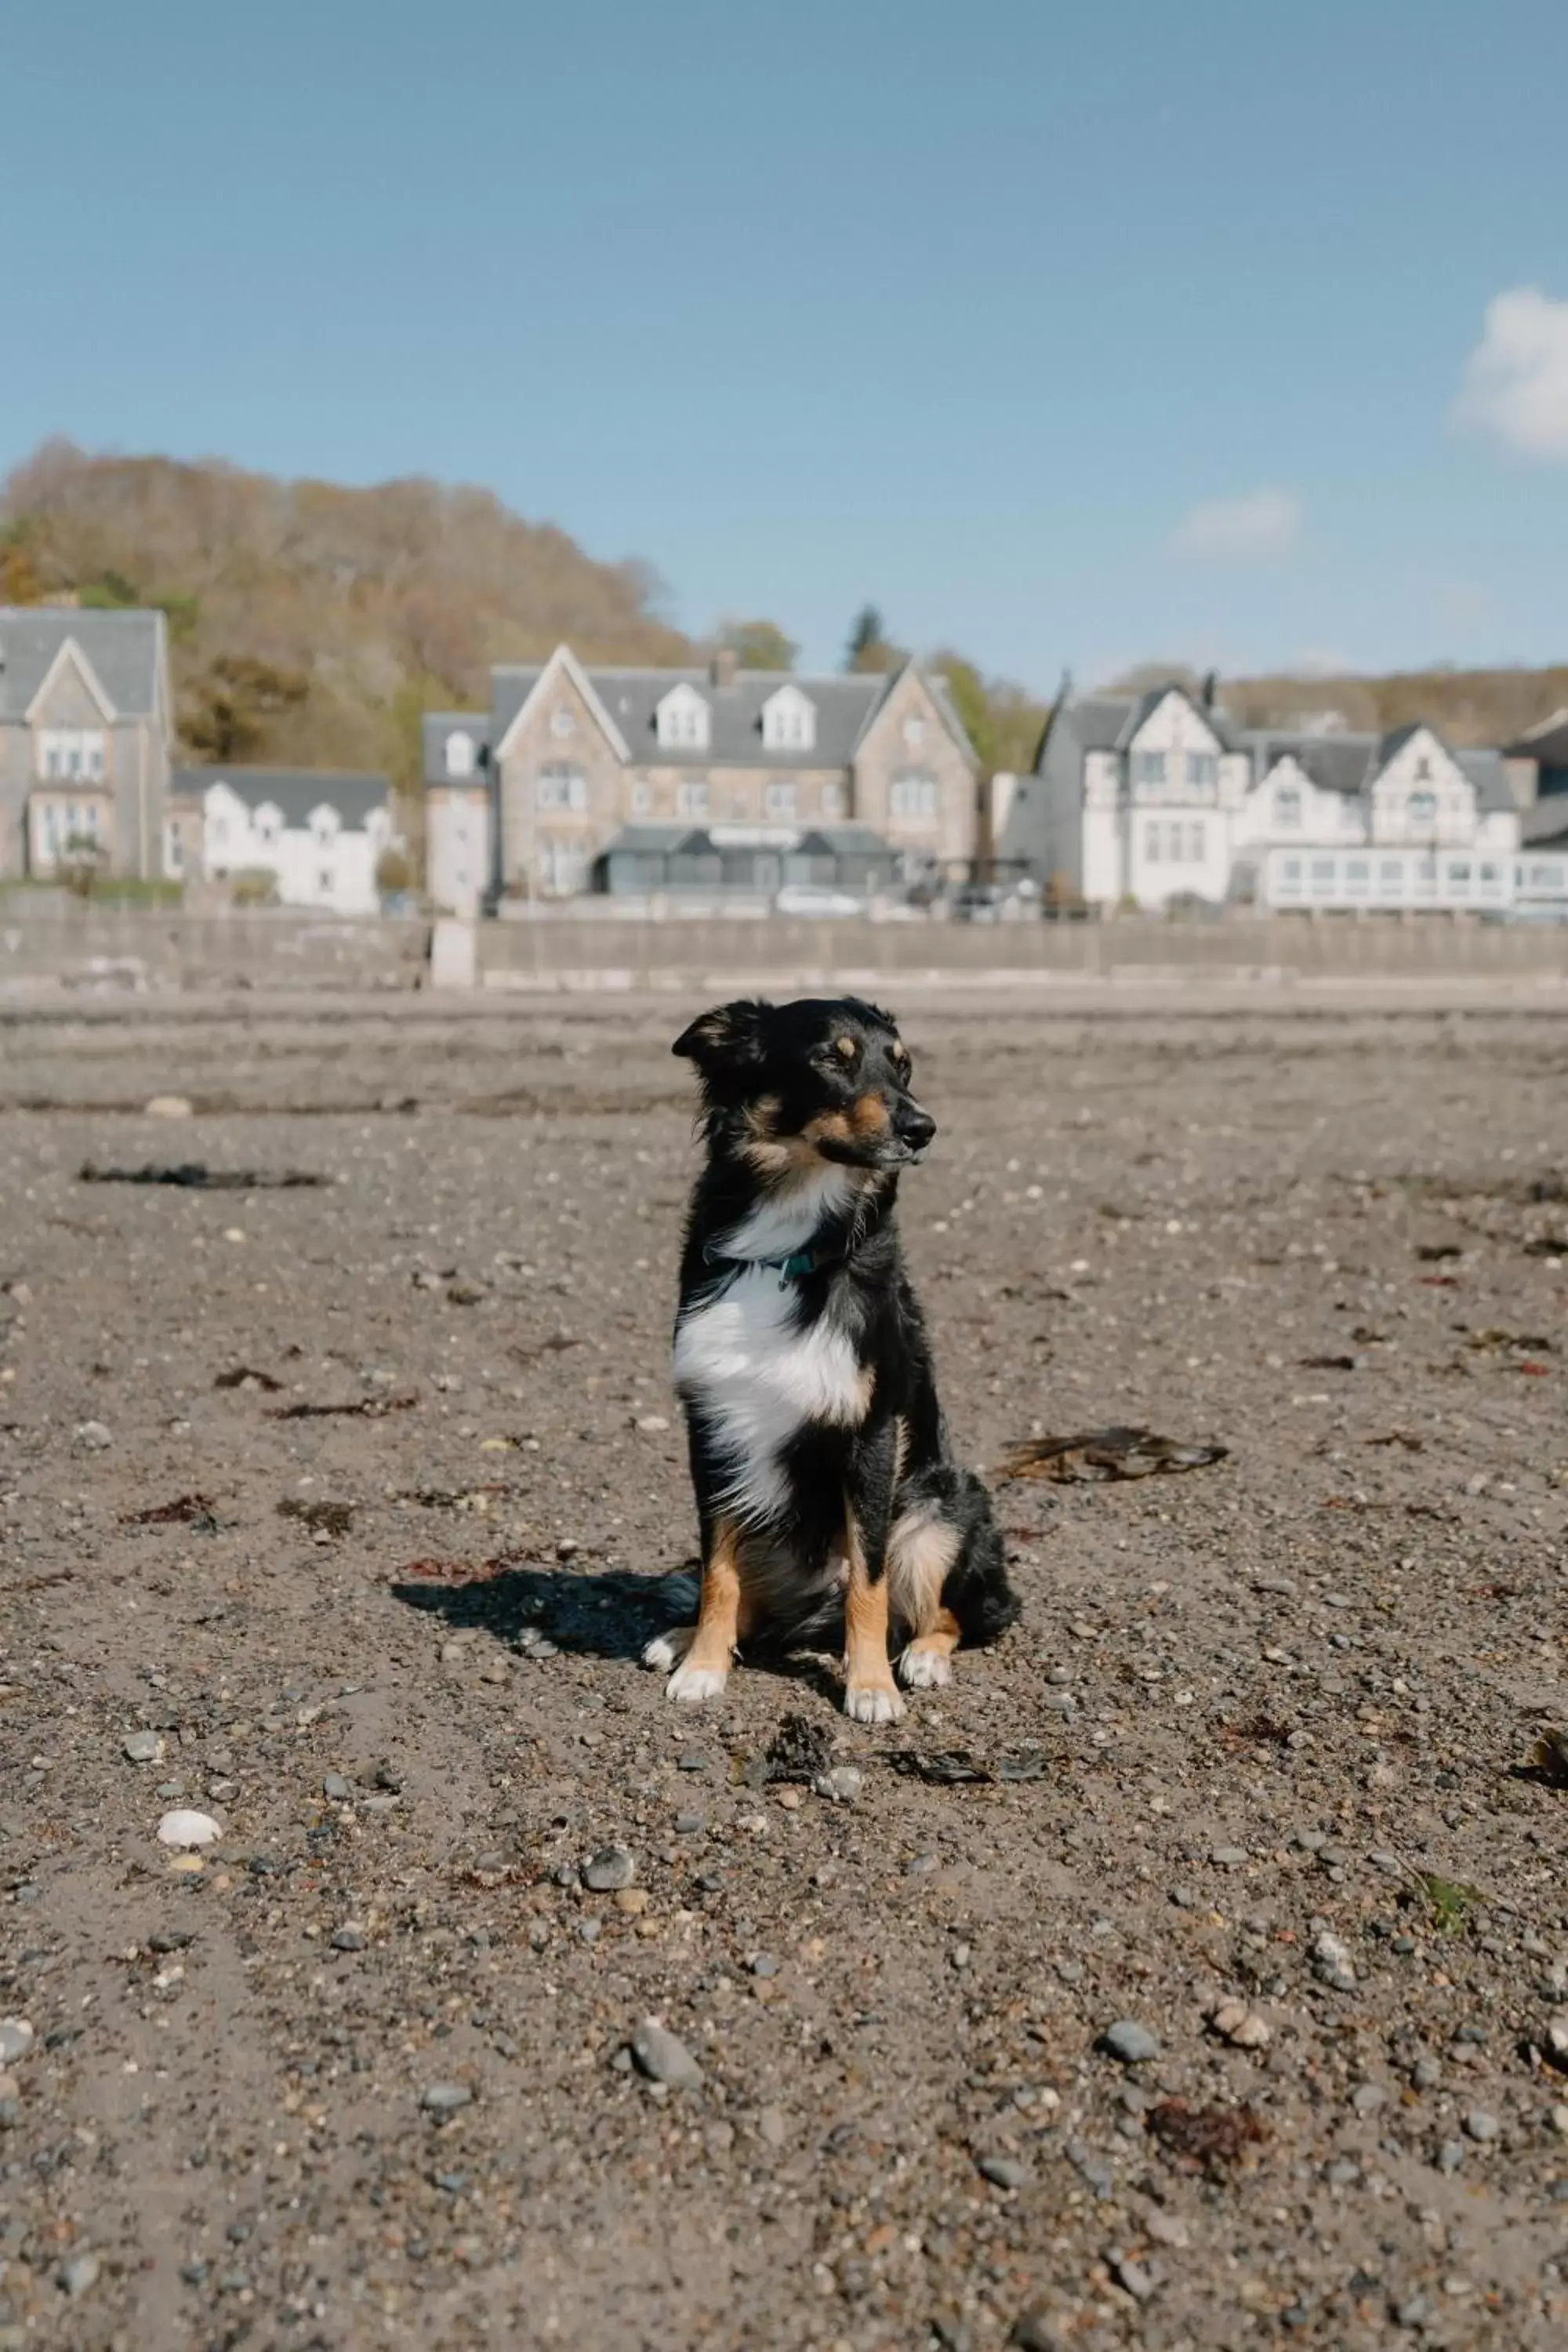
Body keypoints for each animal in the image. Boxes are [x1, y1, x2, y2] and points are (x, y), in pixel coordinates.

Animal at [639, 993, 1020, 1731]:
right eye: (829, 1060)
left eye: (902, 1065)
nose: (922, 1127)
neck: (788, 1236)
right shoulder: (713, 1427)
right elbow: (718, 1572)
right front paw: (703, 1663)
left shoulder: (869, 1434)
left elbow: (869, 1583)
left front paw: (870, 1685)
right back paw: (683, 1637)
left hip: (940, 1508)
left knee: (950, 1611)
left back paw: (921, 1658)